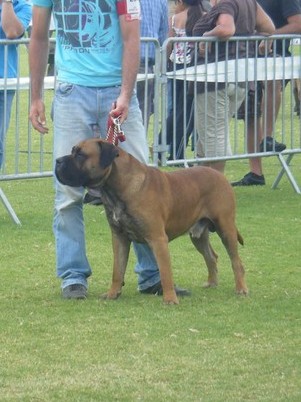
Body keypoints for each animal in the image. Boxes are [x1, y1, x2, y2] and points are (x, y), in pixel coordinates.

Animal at [55, 139, 247, 304]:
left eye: (81, 154)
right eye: (73, 151)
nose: (57, 161)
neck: (117, 188)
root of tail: (219, 175)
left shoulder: (158, 239)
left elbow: (165, 272)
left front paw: (170, 298)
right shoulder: (119, 238)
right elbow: (117, 270)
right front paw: (112, 294)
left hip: (226, 228)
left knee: (236, 261)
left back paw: (241, 289)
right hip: (198, 235)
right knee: (211, 256)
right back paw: (212, 283)